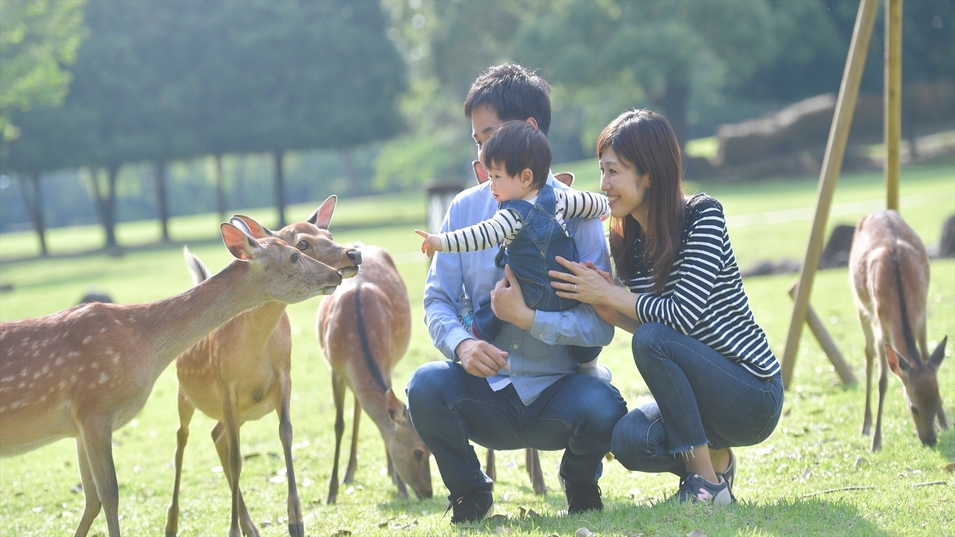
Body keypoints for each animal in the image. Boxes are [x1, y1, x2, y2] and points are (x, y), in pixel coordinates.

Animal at [0, 218, 344, 536]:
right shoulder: (95, 407)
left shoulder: (79, 424)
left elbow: (92, 500)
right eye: (296, 254)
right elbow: (110, 494)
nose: (336, 274)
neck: (144, 345)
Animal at [164, 195, 362, 536]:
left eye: (329, 235)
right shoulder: (226, 386)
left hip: (239, 412)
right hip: (184, 395)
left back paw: (251, 527)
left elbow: (286, 435)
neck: (254, 350)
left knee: (216, 436)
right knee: (182, 441)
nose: (355, 253)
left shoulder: (284, 376)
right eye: (302, 244)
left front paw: (296, 520)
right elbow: (236, 460)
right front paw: (232, 529)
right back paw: (173, 523)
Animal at [320, 245, 436, 504]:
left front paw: (401, 488)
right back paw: (349, 474)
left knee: (359, 407)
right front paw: (331, 492)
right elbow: (339, 424)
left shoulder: (388, 361)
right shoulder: (335, 370)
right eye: (418, 452)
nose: (427, 493)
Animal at [852, 207, 948, 450]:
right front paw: (876, 442)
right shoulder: (880, 325)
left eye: (940, 400)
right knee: (868, 355)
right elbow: (883, 381)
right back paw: (865, 426)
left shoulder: (922, 312)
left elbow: (926, 355)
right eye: (913, 407)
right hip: (860, 306)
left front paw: (945, 422)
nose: (930, 441)